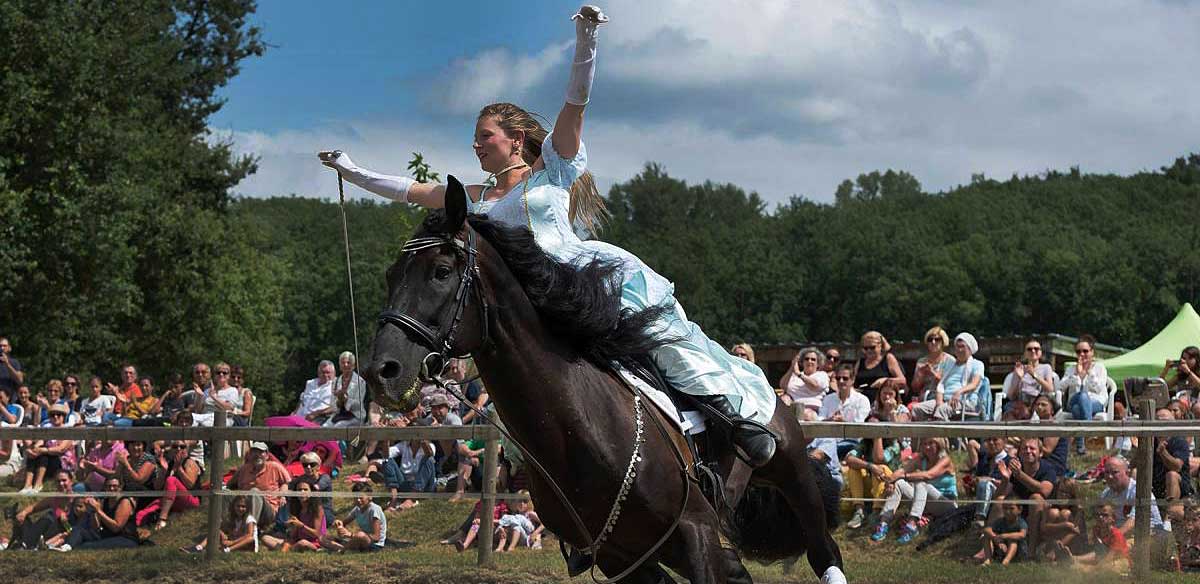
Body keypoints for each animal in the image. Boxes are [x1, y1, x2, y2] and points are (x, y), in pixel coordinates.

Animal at [364, 178, 844, 584]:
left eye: (442, 271)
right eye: (390, 275)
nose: (380, 371)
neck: (574, 429)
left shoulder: (697, 532)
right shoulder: (623, 558)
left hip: (792, 472)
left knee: (824, 551)